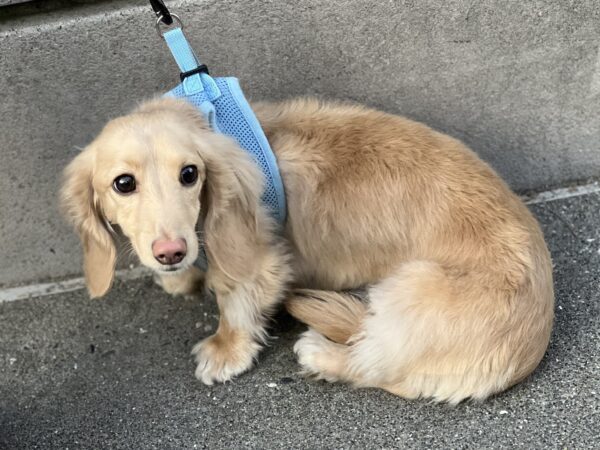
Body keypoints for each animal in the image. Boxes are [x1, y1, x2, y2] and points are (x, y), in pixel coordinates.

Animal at [61, 96, 552, 402]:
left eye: (190, 174)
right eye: (123, 183)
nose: (171, 252)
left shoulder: (261, 262)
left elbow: (234, 303)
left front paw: (224, 350)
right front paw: (183, 277)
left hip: (412, 294)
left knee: (374, 366)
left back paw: (320, 353)